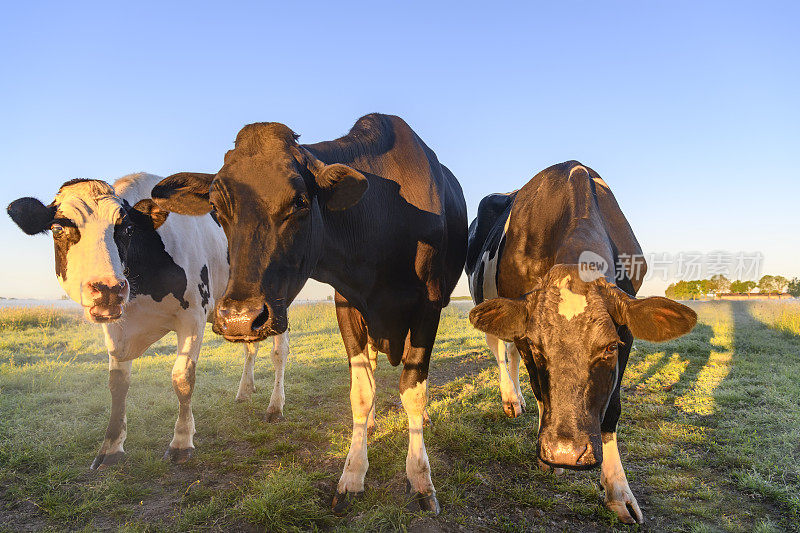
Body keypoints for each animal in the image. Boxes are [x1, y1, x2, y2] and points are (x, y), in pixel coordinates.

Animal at [7, 172, 290, 468]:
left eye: (127, 229)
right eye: (57, 229)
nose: (108, 288)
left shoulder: (193, 316)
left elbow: (182, 378)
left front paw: (181, 441)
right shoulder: (116, 326)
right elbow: (117, 383)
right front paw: (111, 447)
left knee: (279, 352)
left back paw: (275, 407)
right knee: (250, 347)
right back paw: (245, 391)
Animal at [150, 113, 468, 516]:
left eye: (300, 202)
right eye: (217, 210)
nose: (239, 318)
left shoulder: (429, 306)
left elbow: (413, 389)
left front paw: (421, 480)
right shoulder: (347, 304)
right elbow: (361, 391)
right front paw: (352, 476)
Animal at [466, 160, 696, 520]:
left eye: (609, 347)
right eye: (538, 347)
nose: (565, 452)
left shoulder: (626, 329)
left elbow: (612, 409)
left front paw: (618, 490)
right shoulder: (524, 324)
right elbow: (539, 388)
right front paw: (550, 460)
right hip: (485, 299)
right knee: (500, 352)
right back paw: (511, 399)